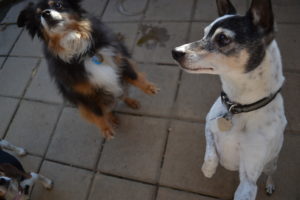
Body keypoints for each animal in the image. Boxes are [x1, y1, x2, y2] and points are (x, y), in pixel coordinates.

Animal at [171, 0, 286, 199]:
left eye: (223, 38)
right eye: (204, 33)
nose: (175, 52)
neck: (237, 106)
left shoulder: (249, 181)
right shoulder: (208, 126)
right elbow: (210, 154)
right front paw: (208, 170)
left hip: (271, 163)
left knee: (272, 172)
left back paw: (270, 185)